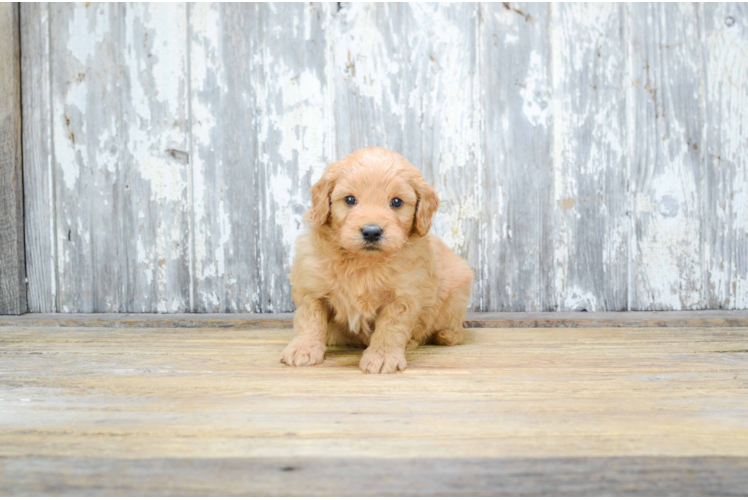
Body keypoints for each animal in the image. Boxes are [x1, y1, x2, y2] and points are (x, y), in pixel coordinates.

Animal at [280, 146, 474, 374]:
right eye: (349, 200)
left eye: (396, 202)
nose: (371, 232)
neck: (363, 261)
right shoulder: (311, 285)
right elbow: (310, 319)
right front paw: (303, 348)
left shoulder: (403, 297)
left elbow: (390, 328)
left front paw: (382, 356)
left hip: (457, 295)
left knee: (455, 332)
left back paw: (437, 335)